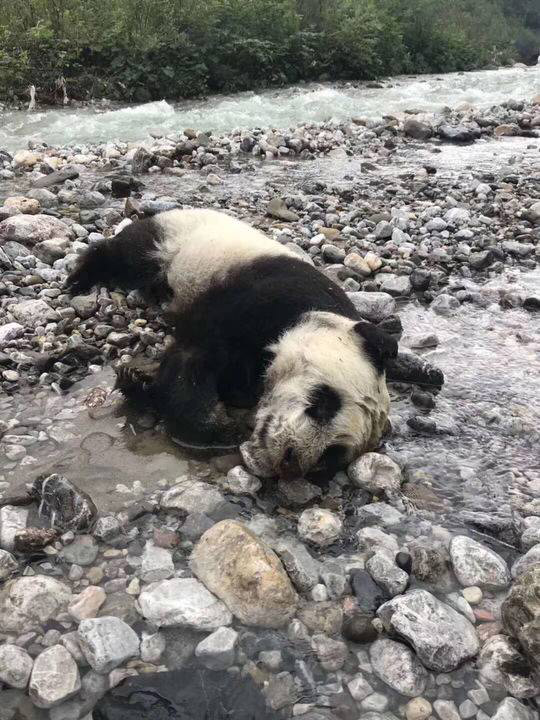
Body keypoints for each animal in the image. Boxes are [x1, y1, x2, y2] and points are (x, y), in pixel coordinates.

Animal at [68, 207, 396, 478]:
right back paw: (80, 276)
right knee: (129, 254)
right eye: (324, 403)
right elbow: (192, 359)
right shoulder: (261, 298)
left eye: (333, 453)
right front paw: (223, 428)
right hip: (176, 238)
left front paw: (137, 379)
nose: (290, 460)